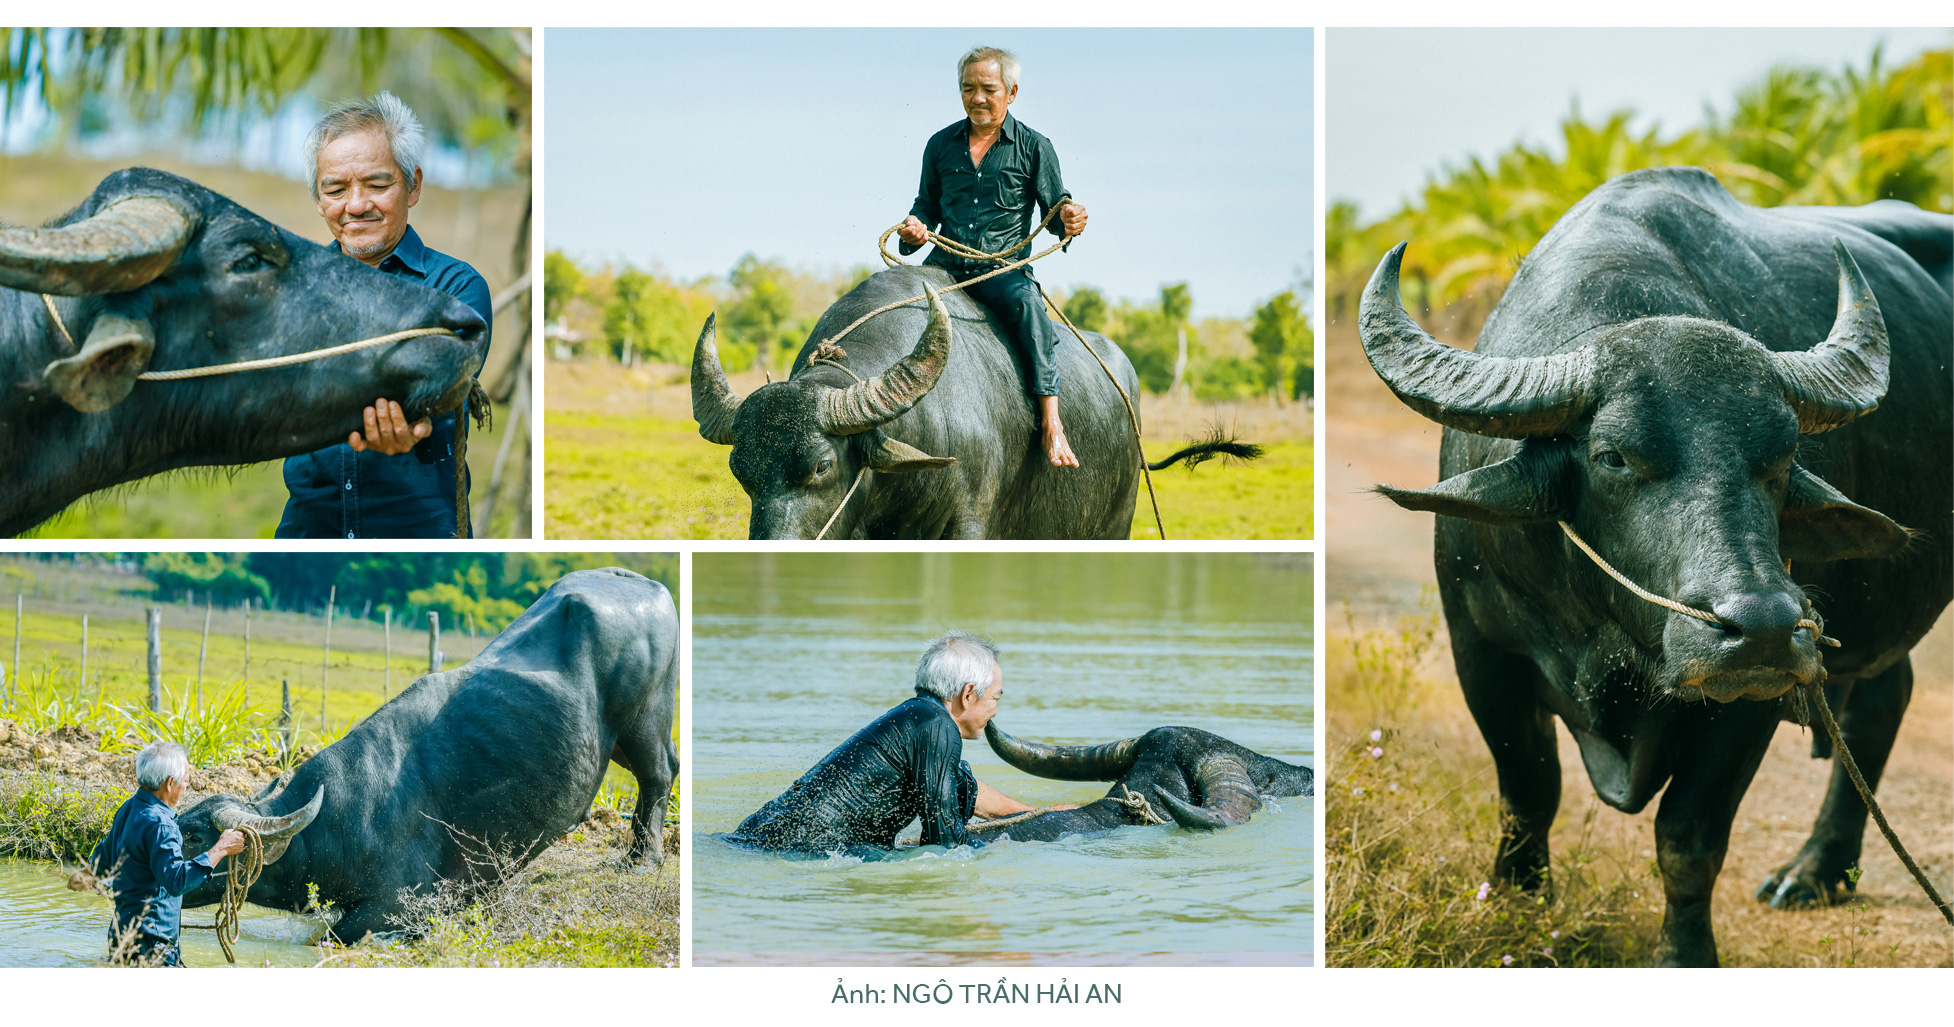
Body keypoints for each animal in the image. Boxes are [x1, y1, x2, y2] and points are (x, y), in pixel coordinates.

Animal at [169, 566, 687, 944]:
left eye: (195, 835)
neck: (331, 823)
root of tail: (648, 586)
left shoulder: (399, 905)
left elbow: (335, 935)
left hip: (645, 722)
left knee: (659, 775)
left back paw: (643, 859)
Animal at [1359, 164, 1954, 972]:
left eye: (1782, 457)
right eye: (1613, 455)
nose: (1764, 627)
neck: (1608, 636)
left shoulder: (1751, 698)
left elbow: (1688, 838)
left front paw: (1685, 953)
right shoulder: (1481, 650)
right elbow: (1528, 793)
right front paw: (1516, 907)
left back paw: (1810, 872)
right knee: (1882, 698)